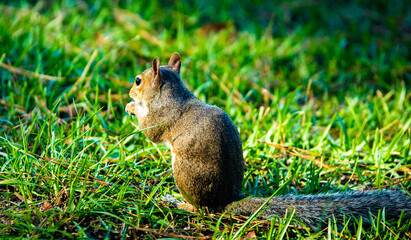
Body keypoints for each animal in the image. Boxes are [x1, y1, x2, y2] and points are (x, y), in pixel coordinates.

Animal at [125, 52, 411, 231]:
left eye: (138, 80)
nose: (129, 91)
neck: (173, 94)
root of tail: (228, 199)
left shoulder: (162, 117)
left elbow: (150, 131)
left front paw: (131, 107)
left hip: (185, 175)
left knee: (203, 211)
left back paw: (177, 202)